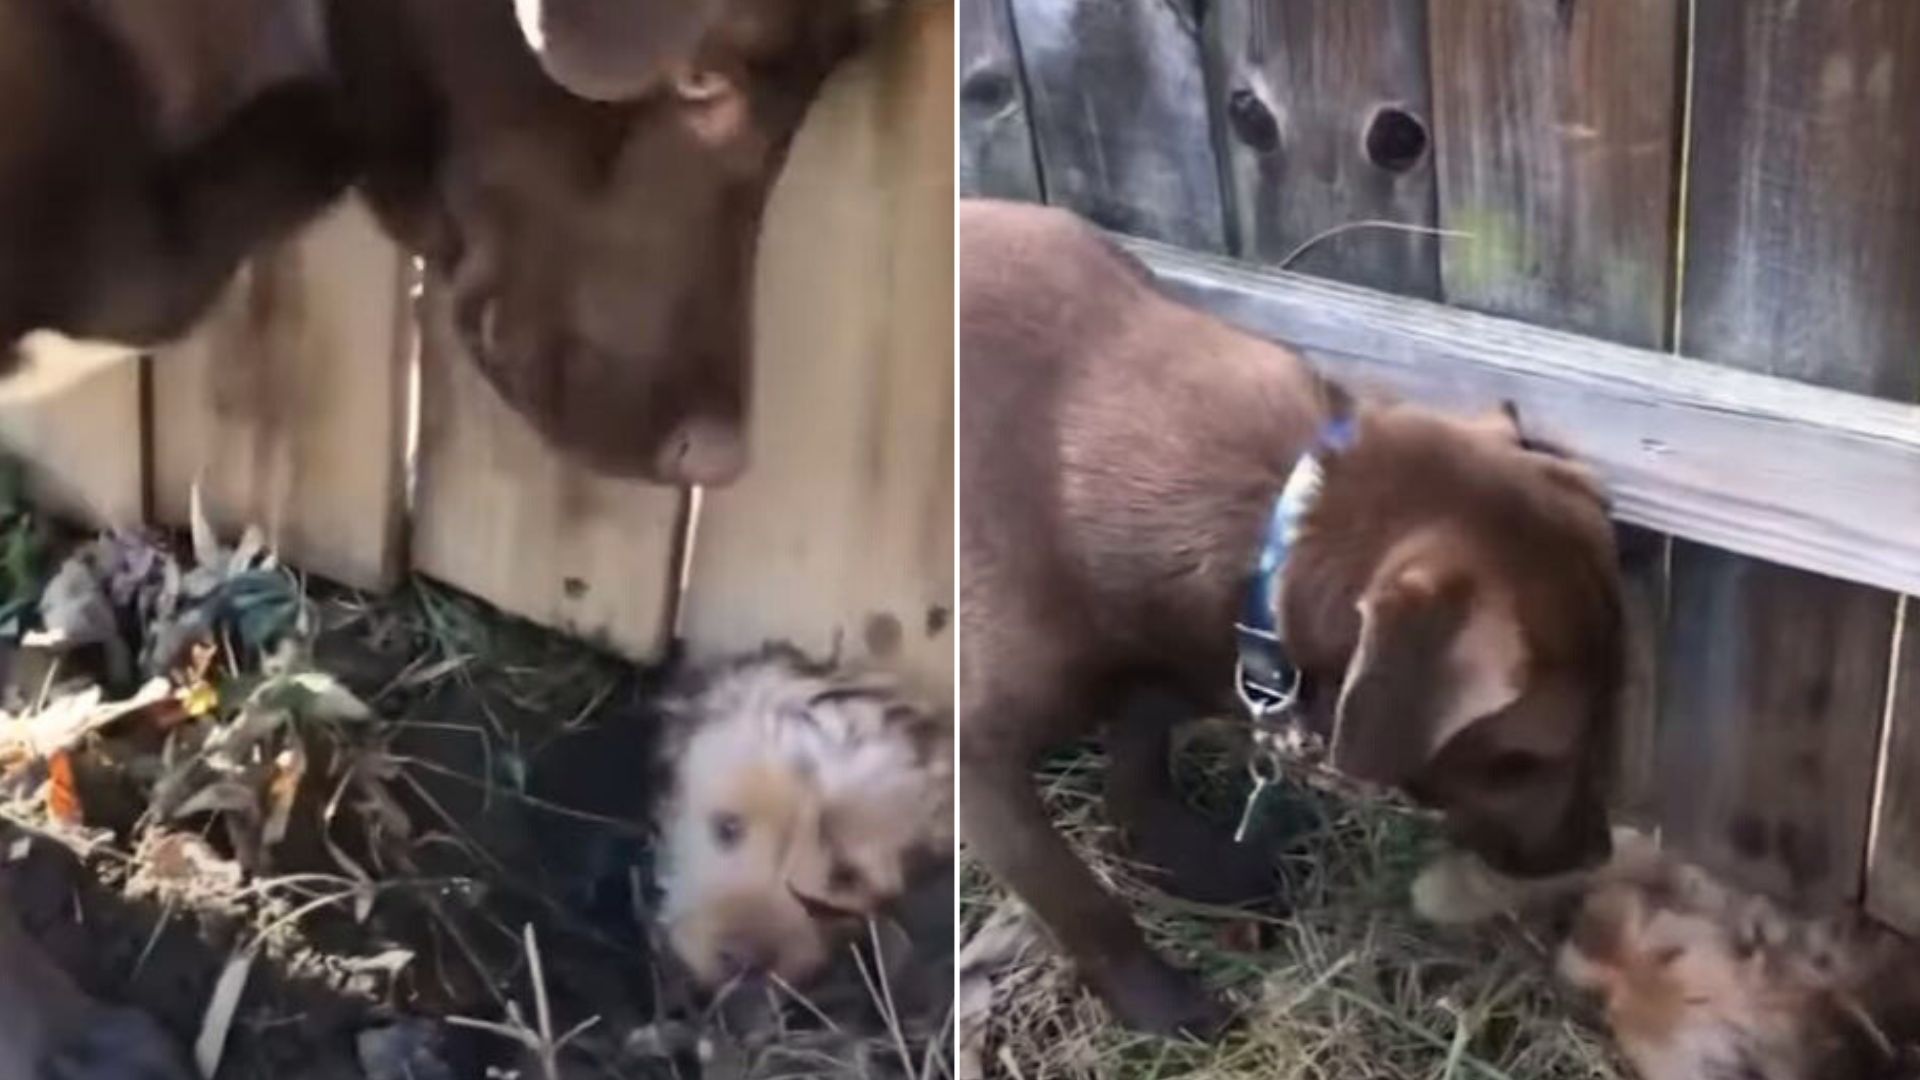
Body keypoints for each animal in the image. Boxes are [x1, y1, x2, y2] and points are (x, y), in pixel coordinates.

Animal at [960, 197, 1620, 1030]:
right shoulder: (978, 761)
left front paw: (1190, 859)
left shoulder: (1165, 655)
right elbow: (1081, 904)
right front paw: (1157, 1001)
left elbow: (1140, 762)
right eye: (1522, 760)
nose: (1597, 853)